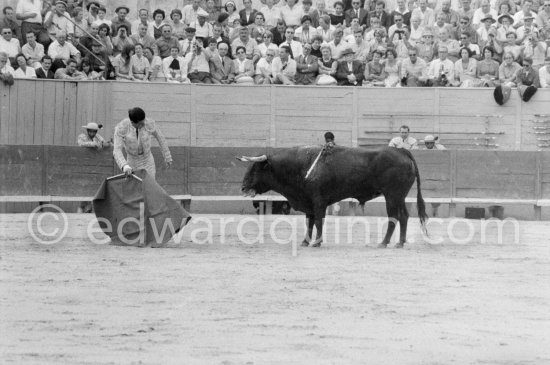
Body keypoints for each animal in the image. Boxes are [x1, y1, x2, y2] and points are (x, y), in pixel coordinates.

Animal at [237, 145, 432, 247]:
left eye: (255, 169)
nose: (243, 187)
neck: (302, 166)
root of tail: (402, 151)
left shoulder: (318, 201)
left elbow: (317, 221)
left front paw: (317, 242)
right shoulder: (309, 202)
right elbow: (309, 222)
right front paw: (305, 242)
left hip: (392, 196)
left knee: (394, 216)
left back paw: (384, 243)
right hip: (400, 196)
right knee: (404, 216)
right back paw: (400, 242)